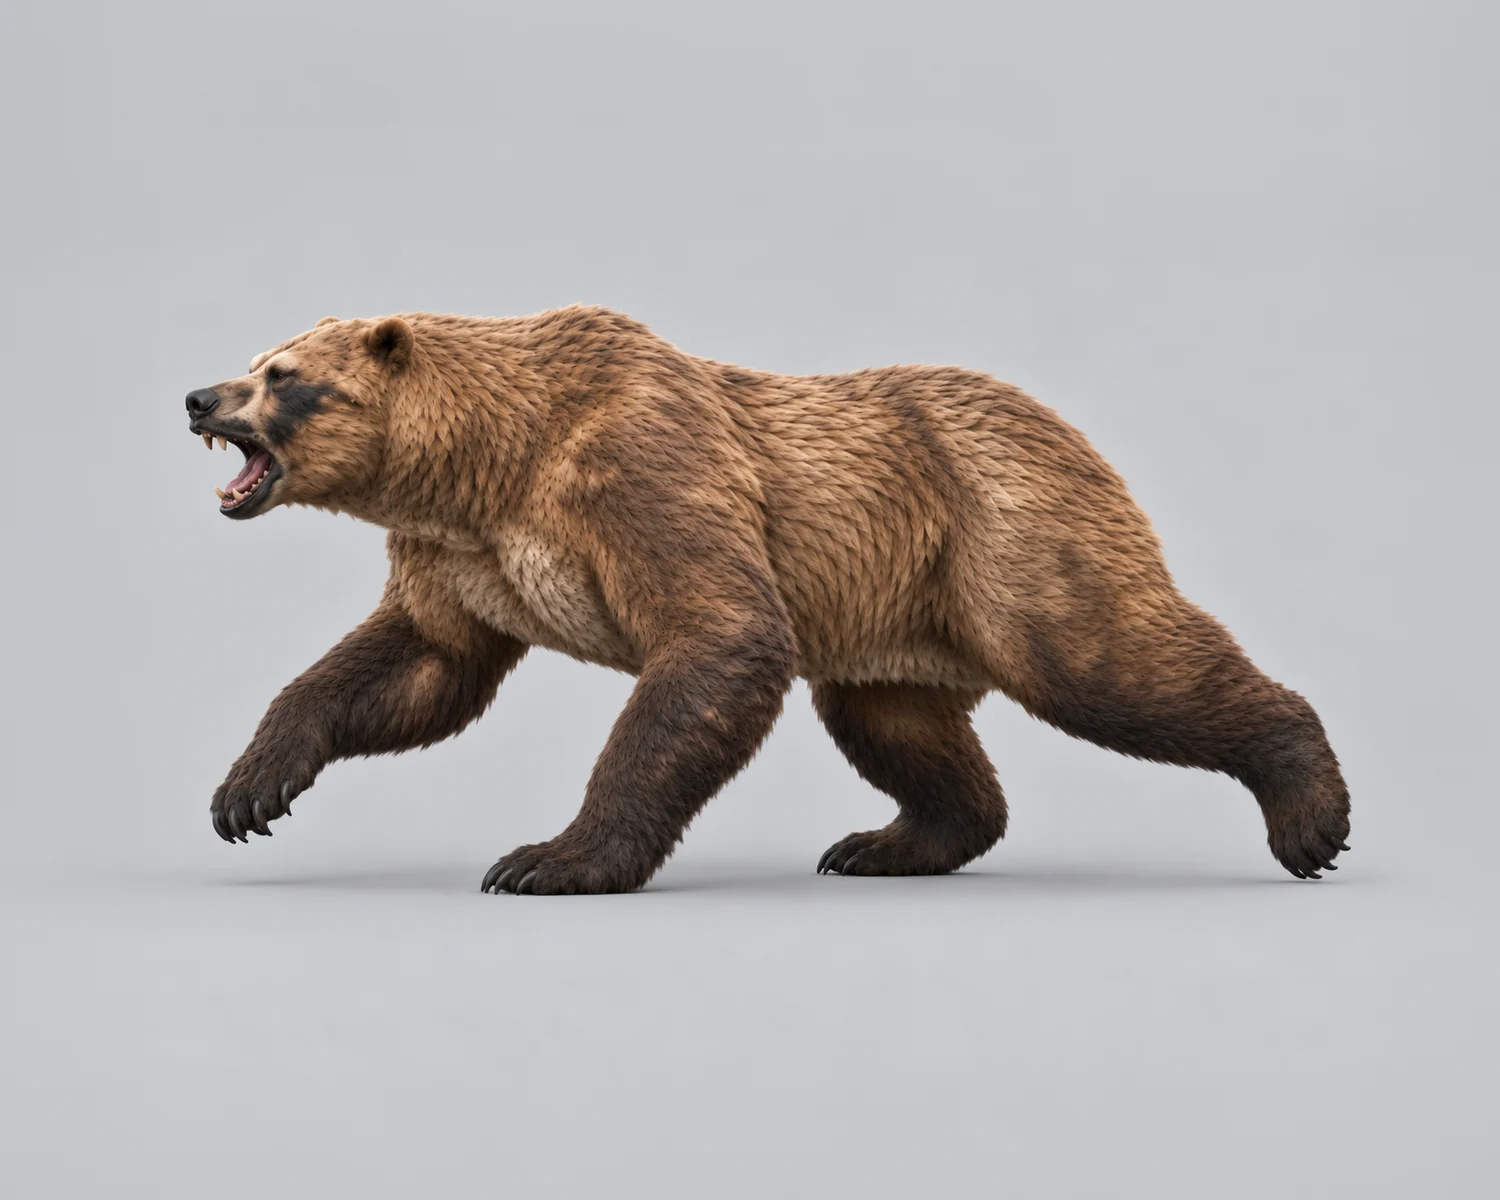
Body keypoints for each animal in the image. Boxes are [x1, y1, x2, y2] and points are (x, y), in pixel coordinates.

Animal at [184, 306, 1350, 894]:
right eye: (252, 355)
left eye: (283, 374)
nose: (198, 396)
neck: (488, 469)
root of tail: (1068, 427)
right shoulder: (461, 558)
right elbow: (416, 664)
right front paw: (249, 791)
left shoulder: (636, 468)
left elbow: (720, 637)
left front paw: (547, 858)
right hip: (896, 617)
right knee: (898, 726)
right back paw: (885, 843)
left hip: (1010, 529)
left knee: (1110, 659)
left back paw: (1310, 814)